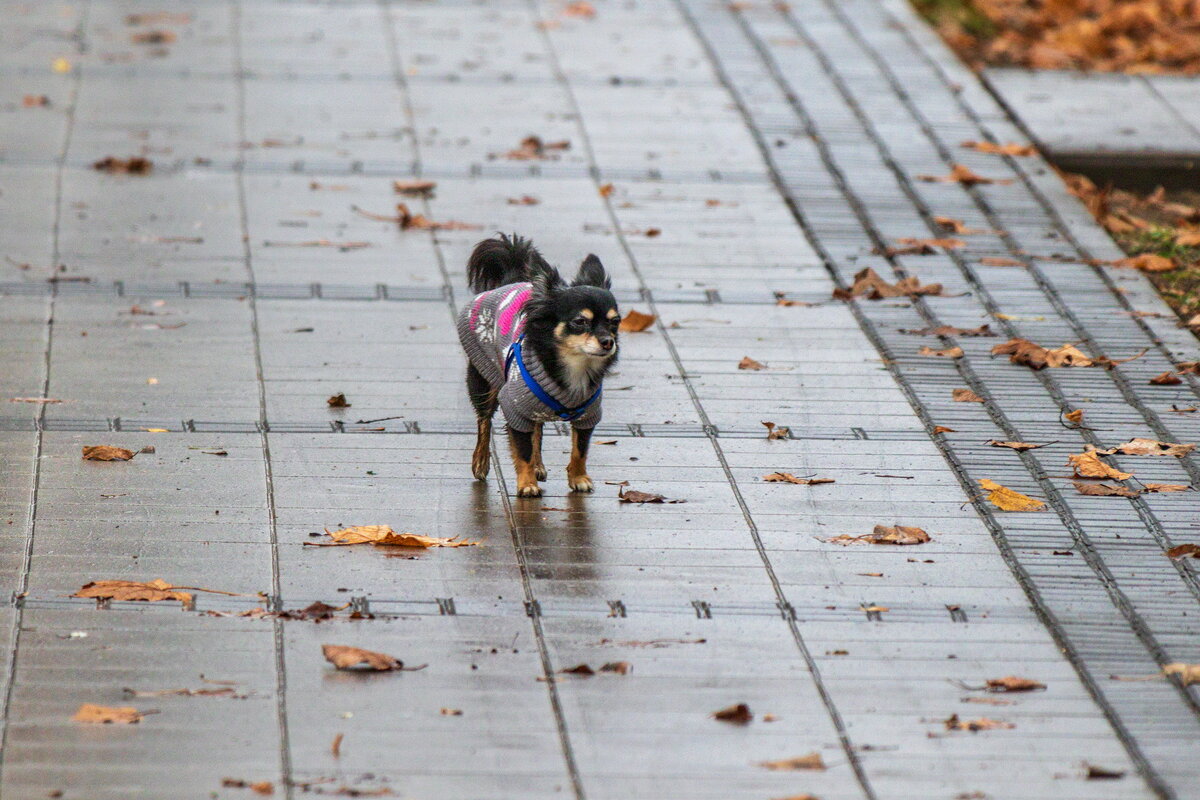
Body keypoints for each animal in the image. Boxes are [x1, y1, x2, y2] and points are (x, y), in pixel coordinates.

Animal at [456, 232, 624, 494]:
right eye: (580, 322)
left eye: (615, 322)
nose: (608, 341)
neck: (575, 367)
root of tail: (514, 279)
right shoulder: (514, 406)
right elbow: (522, 449)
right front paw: (526, 484)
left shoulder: (588, 415)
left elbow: (580, 449)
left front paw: (578, 478)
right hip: (484, 381)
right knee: (484, 421)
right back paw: (481, 461)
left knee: (537, 429)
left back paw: (538, 465)